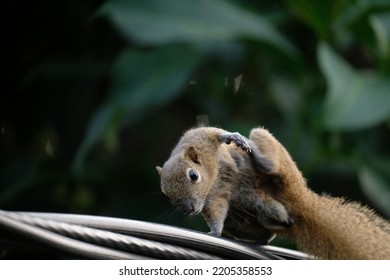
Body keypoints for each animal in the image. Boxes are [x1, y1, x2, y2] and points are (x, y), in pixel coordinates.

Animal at [155, 126, 390, 260]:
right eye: (164, 195)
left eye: (193, 175)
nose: (189, 210)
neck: (213, 178)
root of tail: (303, 204)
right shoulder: (213, 200)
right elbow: (217, 214)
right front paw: (214, 232)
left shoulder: (199, 136)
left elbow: (215, 132)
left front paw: (233, 137)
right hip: (250, 219)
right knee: (272, 230)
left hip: (283, 167)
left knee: (270, 157)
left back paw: (259, 155)